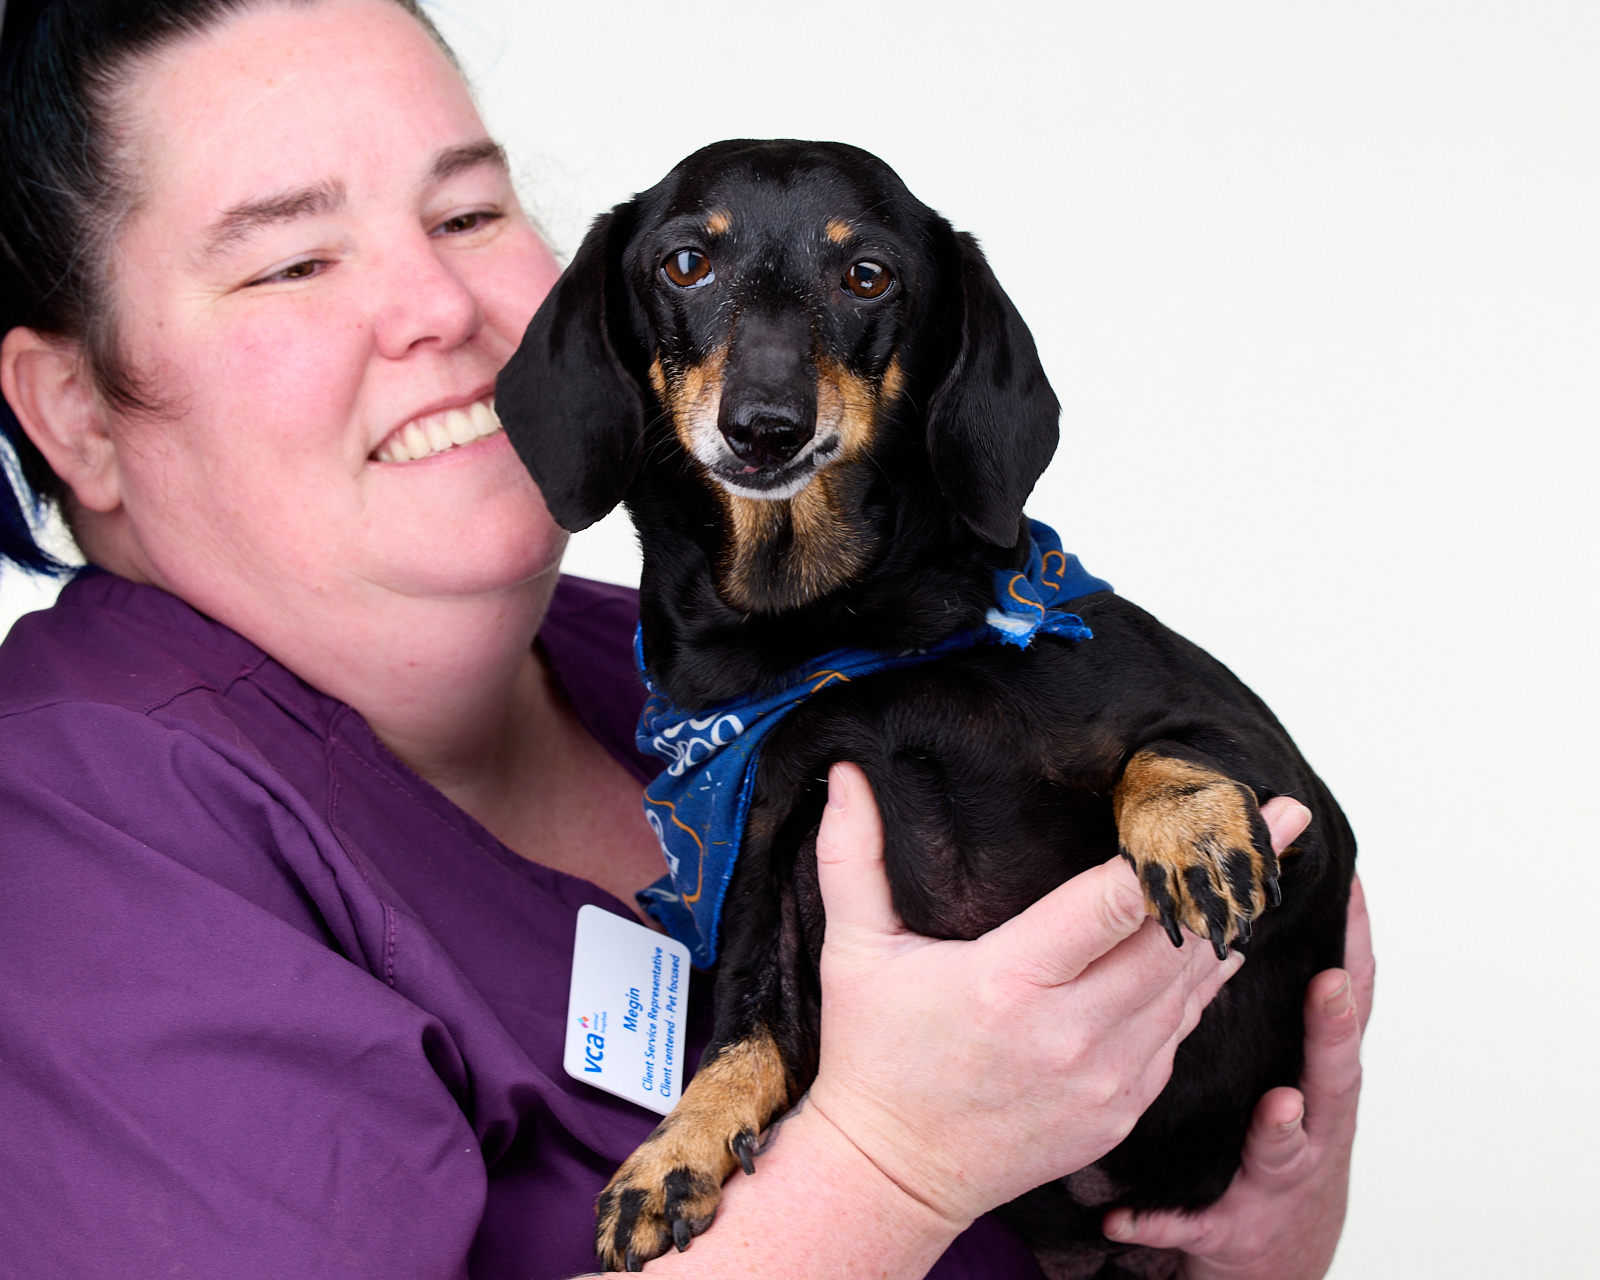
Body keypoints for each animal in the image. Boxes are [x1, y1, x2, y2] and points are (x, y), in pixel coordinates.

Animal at [496, 140, 1350, 1280]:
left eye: (869, 276)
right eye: (685, 263)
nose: (763, 429)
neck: (835, 645)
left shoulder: (1291, 787)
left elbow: (1168, 753)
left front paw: (1190, 834)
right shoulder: (763, 877)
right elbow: (742, 1038)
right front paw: (674, 1150)